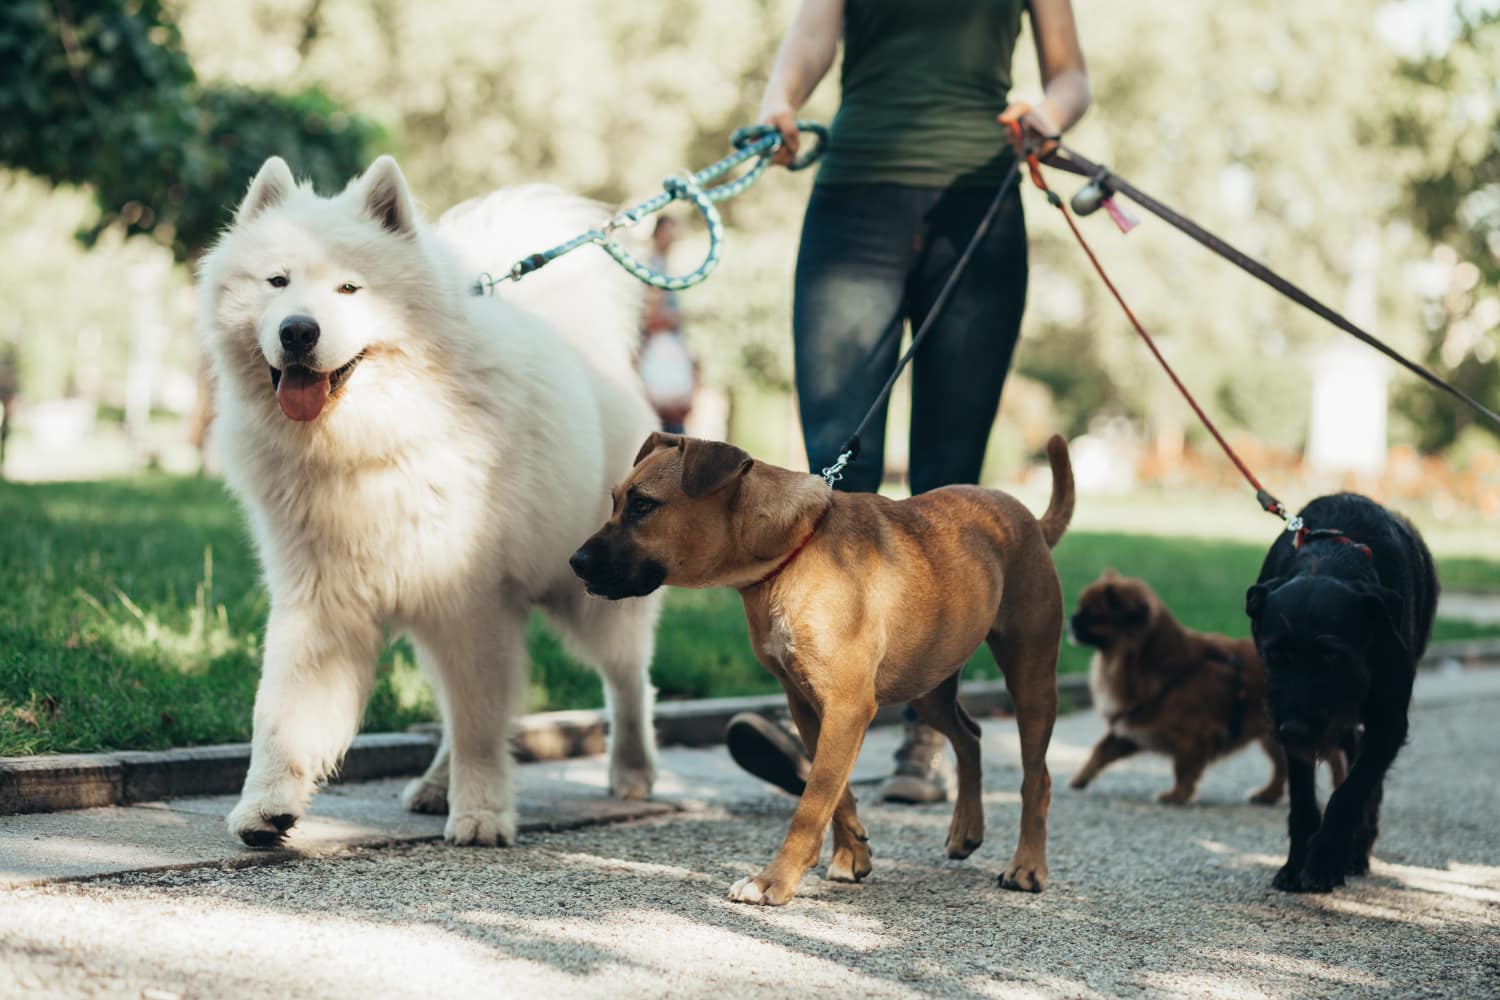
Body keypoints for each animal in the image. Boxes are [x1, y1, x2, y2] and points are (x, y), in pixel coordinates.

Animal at [199, 158, 663, 851]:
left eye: (349, 289)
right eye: (276, 282)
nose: (297, 330)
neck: (370, 442)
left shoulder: (469, 600)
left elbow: (480, 725)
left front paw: (481, 814)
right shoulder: (320, 600)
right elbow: (283, 714)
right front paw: (266, 807)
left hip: (589, 596)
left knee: (628, 681)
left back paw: (632, 770)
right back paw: (434, 785)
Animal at [567, 431, 1074, 905]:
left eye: (644, 505)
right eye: (615, 501)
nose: (574, 562)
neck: (792, 552)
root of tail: (1029, 520)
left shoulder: (847, 707)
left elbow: (811, 805)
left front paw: (774, 879)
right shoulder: (808, 704)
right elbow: (835, 791)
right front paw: (852, 854)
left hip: (1030, 679)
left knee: (1038, 778)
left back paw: (1028, 866)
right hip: (928, 683)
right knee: (970, 737)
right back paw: (967, 829)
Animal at [1068, 569, 1350, 803]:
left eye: (1091, 613)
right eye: (1080, 606)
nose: (1071, 618)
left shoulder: (1193, 736)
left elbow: (1183, 768)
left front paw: (1176, 796)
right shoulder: (1130, 729)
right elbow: (1100, 751)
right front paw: (1080, 779)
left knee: (1334, 757)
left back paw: (1337, 786)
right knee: (1282, 767)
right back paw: (1267, 795)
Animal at [1242, 491, 1440, 893]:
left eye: (1333, 656)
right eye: (1274, 655)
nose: (1295, 729)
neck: (1330, 560)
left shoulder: (1389, 723)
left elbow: (1351, 793)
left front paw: (1323, 862)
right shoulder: (1287, 724)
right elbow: (1303, 800)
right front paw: (1296, 864)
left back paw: (1356, 852)